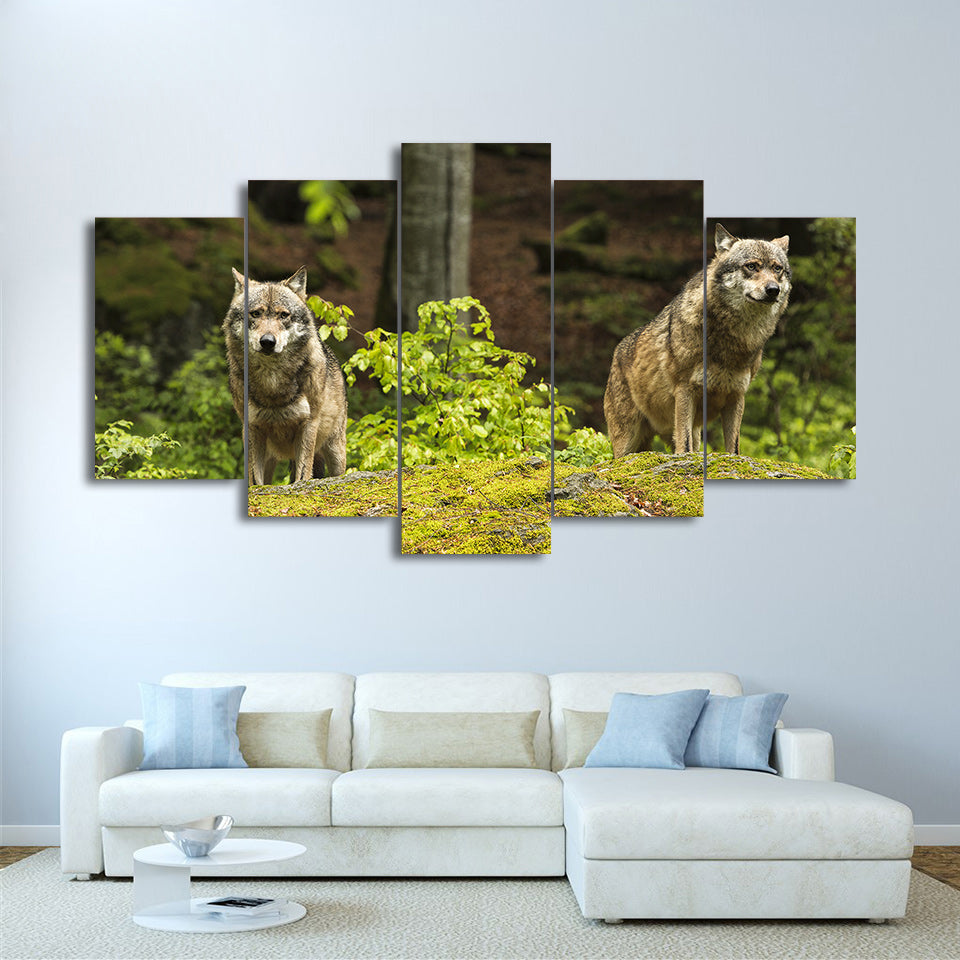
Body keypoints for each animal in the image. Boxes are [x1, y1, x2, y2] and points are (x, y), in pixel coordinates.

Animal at [222, 266, 347, 485]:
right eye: (255, 313)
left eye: (283, 315)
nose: (267, 341)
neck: (272, 382)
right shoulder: (251, 427)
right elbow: (255, 479)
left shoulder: (308, 424)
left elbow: (303, 474)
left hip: (335, 451)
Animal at [603, 223, 790, 456]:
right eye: (752, 266)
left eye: (777, 269)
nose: (773, 290)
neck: (733, 341)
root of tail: (616, 352)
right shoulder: (685, 391)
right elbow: (684, 447)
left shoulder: (737, 396)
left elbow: (733, 448)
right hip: (627, 443)